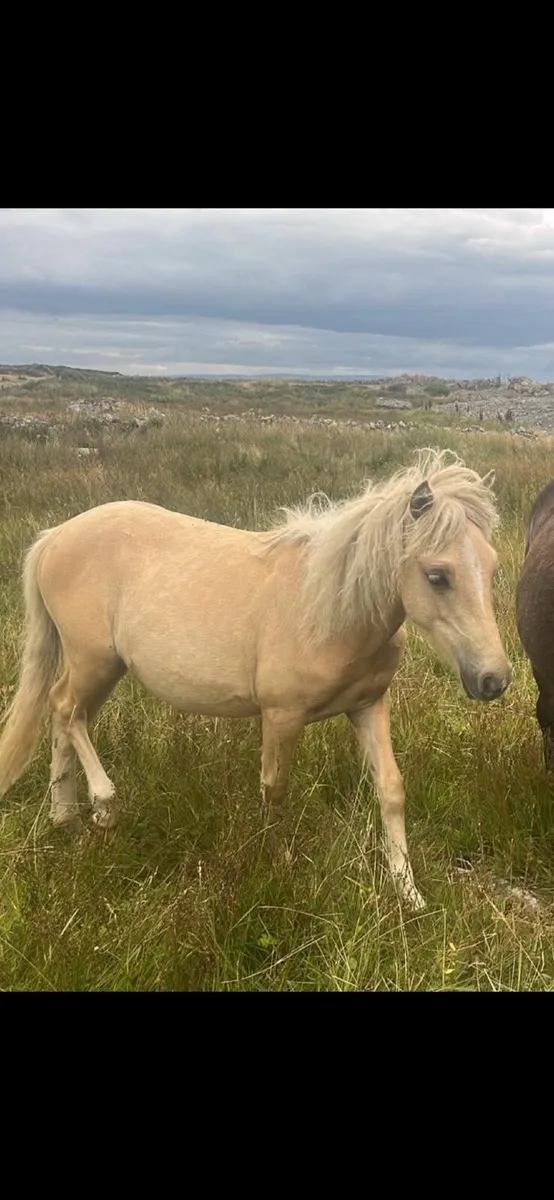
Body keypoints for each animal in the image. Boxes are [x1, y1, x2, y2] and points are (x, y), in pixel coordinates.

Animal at [0, 448, 512, 910]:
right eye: (437, 575)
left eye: (491, 567)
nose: (494, 679)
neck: (329, 610)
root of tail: (56, 536)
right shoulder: (282, 716)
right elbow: (276, 790)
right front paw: (280, 867)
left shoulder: (368, 706)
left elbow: (391, 789)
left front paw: (409, 893)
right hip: (95, 662)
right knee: (66, 709)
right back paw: (103, 806)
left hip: (101, 670)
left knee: (66, 717)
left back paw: (66, 821)